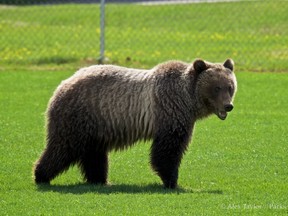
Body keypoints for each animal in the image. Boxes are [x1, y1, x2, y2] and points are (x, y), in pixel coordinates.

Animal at [33, 58, 236, 188]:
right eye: (216, 87)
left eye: (230, 86)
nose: (228, 105)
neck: (188, 100)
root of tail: (63, 84)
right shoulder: (169, 111)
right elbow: (168, 149)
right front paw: (172, 181)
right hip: (79, 115)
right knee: (62, 147)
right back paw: (41, 175)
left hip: (96, 124)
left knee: (93, 153)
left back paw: (100, 180)